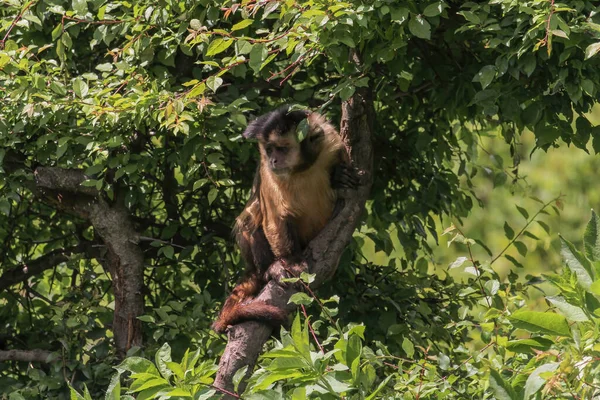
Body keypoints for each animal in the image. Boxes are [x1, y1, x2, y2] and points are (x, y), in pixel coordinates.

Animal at [213, 104, 358, 332]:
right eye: (269, 149)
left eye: (281, 149)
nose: (273, 159)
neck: (302, 168)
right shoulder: (267, 171)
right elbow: (274, 219)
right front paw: (291, 261)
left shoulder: (333, 144)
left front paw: (339, 177)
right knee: (252, 220)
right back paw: (269, 269)